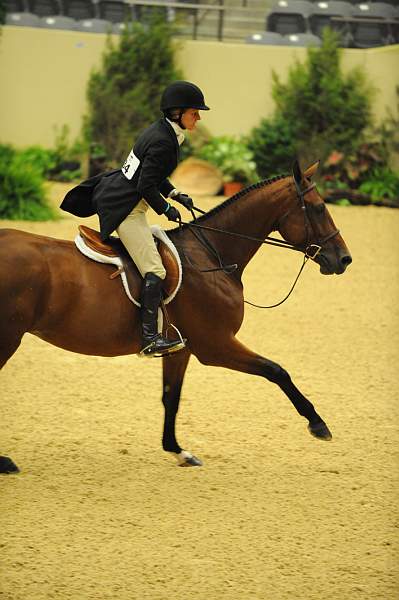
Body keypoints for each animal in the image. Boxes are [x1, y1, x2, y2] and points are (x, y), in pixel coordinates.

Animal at [0, 161, 352, 474]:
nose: (344, 259)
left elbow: (171, 397)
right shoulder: (216, 346)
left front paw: (179, 451)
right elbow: (277, 371)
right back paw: (5, 462)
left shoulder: (181, 349)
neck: (211, 255)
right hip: (9, 337)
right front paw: (318, 424)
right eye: (318, 208)